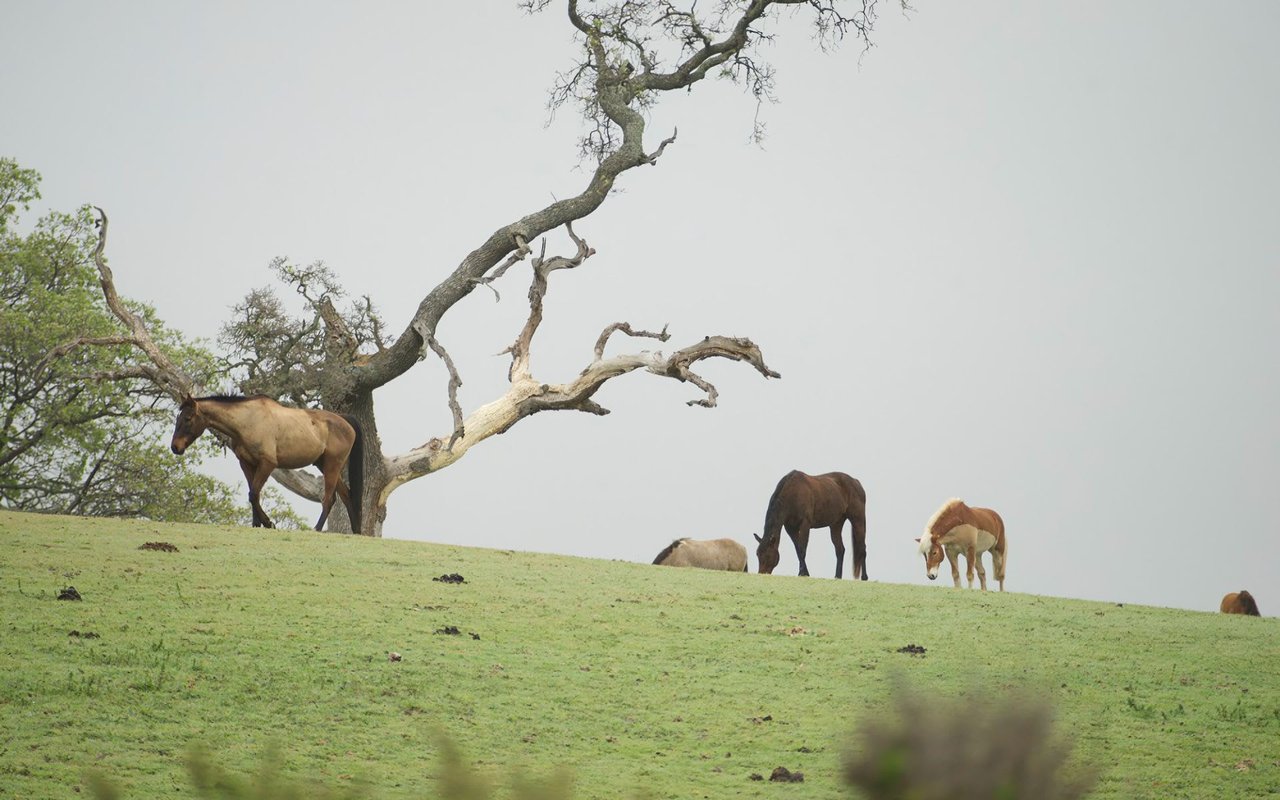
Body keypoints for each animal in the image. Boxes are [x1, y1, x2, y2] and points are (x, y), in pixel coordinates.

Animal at [167, 391, 363, 529]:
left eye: (188, 418)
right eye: (178, 417)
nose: (175, 447)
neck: (248, 421)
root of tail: (345, 421)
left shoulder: (267, 464)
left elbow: (254, 494)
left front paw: (268, 523)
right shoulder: (246, 463)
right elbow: (254, 494)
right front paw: (257, 524)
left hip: (332, 466)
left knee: (329, 499)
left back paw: (317, 529)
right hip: (326, 466)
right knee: (346, 496)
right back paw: (356, 532)